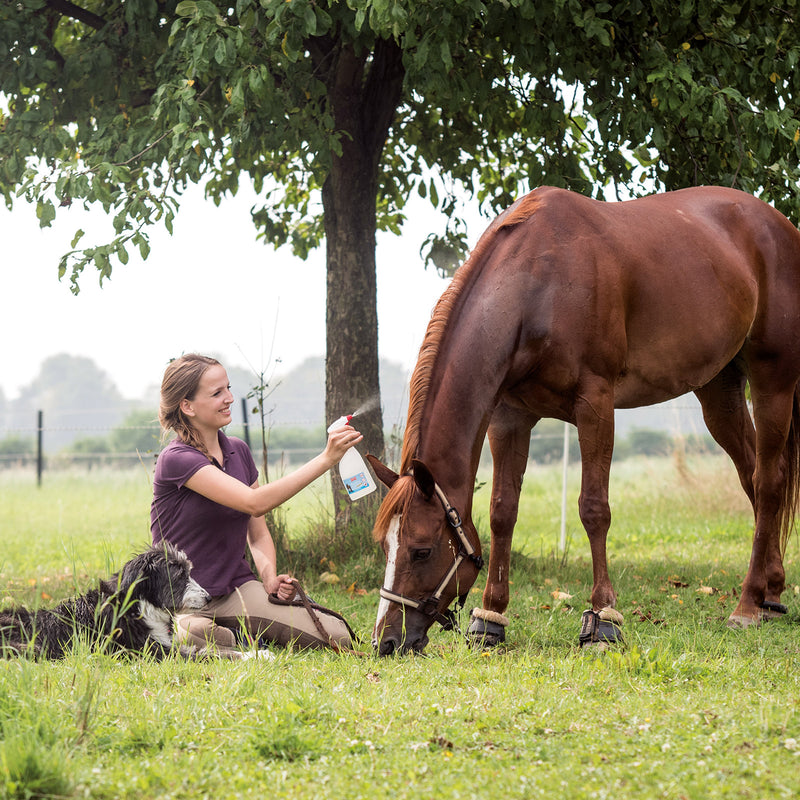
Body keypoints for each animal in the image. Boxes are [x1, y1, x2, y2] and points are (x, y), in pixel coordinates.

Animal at [0, 544, 209, 664]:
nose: (208, 597)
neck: (138, 607)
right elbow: (199, 654)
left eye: (188, 572)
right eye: (179, 576)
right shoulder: (146, 650)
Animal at [368, 188, 800, 656]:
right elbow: (503, 511)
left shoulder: (595, 404)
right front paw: (490, 619)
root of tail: (779, 226)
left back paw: (747, 604)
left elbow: (594, 509)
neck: (538, 285)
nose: (386, 640)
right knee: (752, 476)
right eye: (385, 545)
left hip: (773, 382)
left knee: (769, 482)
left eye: (422, 550)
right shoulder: (510, 416)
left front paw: (603, 618)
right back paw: (770, 592)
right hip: (719, 392)